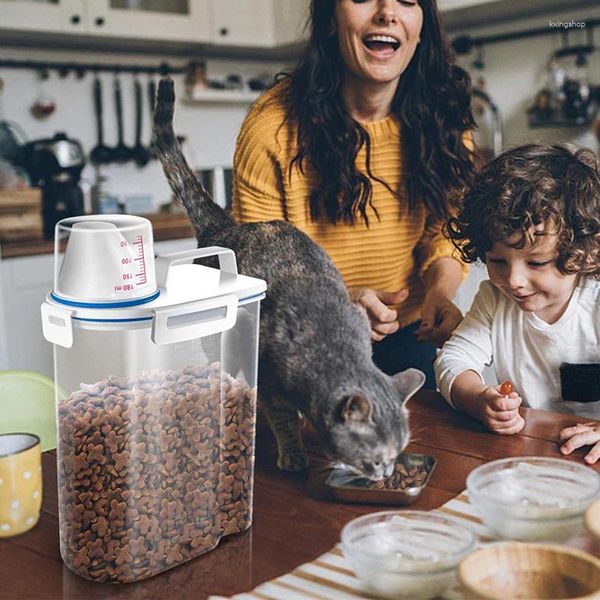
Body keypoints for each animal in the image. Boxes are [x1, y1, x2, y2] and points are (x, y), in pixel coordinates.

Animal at [152, 78, 424, 478]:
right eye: (374, 458)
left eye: (398, 451)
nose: (386, 473)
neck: (331, 345)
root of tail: (225, 227)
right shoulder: (271, 383)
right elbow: (282, 419)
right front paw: (293, 453)